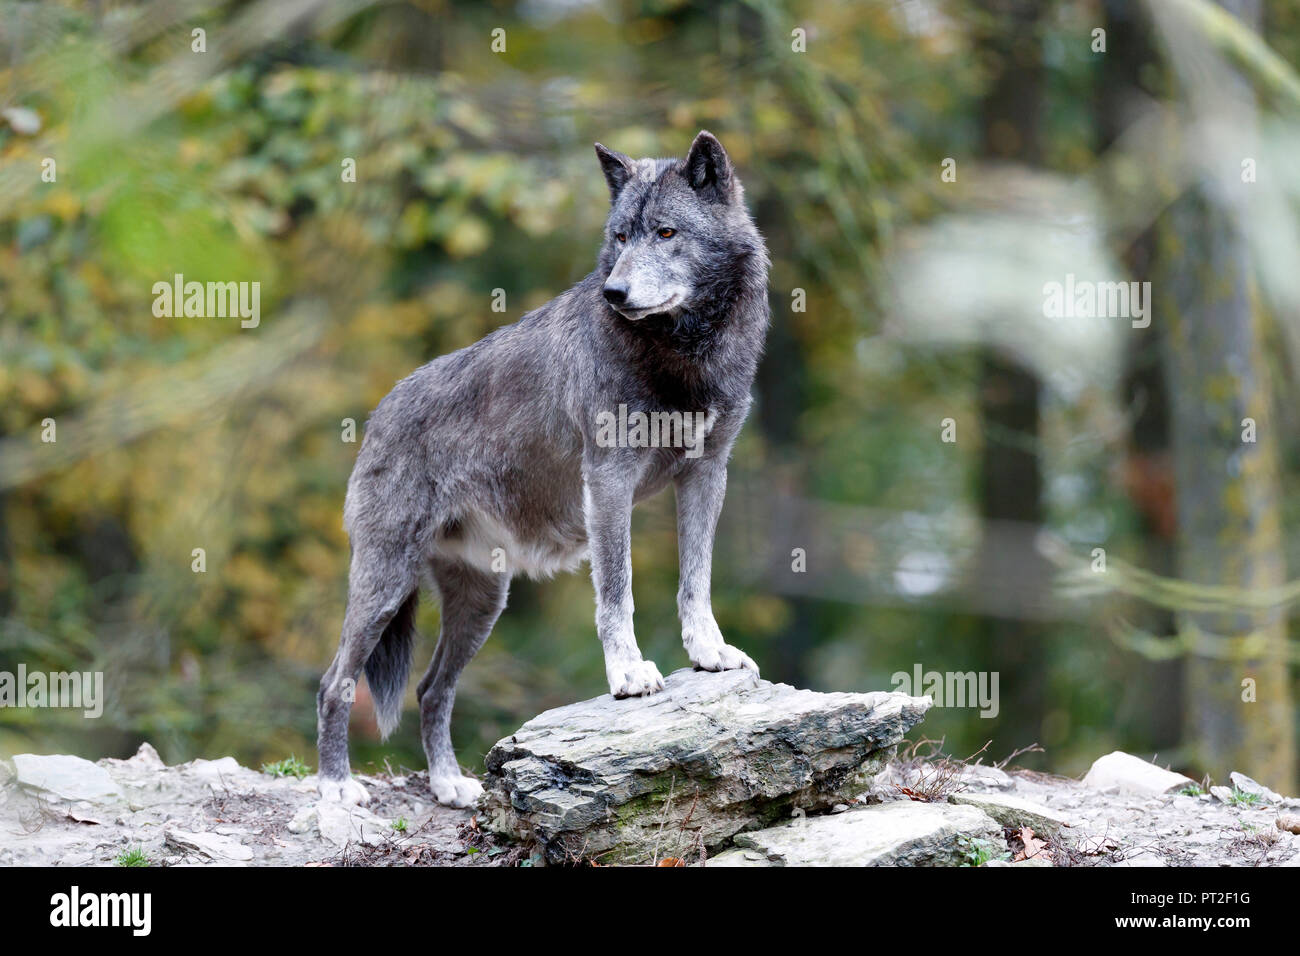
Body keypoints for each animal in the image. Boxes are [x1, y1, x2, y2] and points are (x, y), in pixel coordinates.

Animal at [315, 130, 769, 806]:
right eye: (620, 237)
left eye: (665, 232)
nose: (614, 294)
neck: (682, 354)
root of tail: (377, 415)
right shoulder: (607, 480)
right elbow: (617, 591)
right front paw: (629, 675)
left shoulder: (708, 472)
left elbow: (696, 579)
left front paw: (709, 653)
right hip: (385, 587)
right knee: (334, 683)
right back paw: (337, 790)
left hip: (482, 603)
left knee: (430, 689)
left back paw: (449, 786)